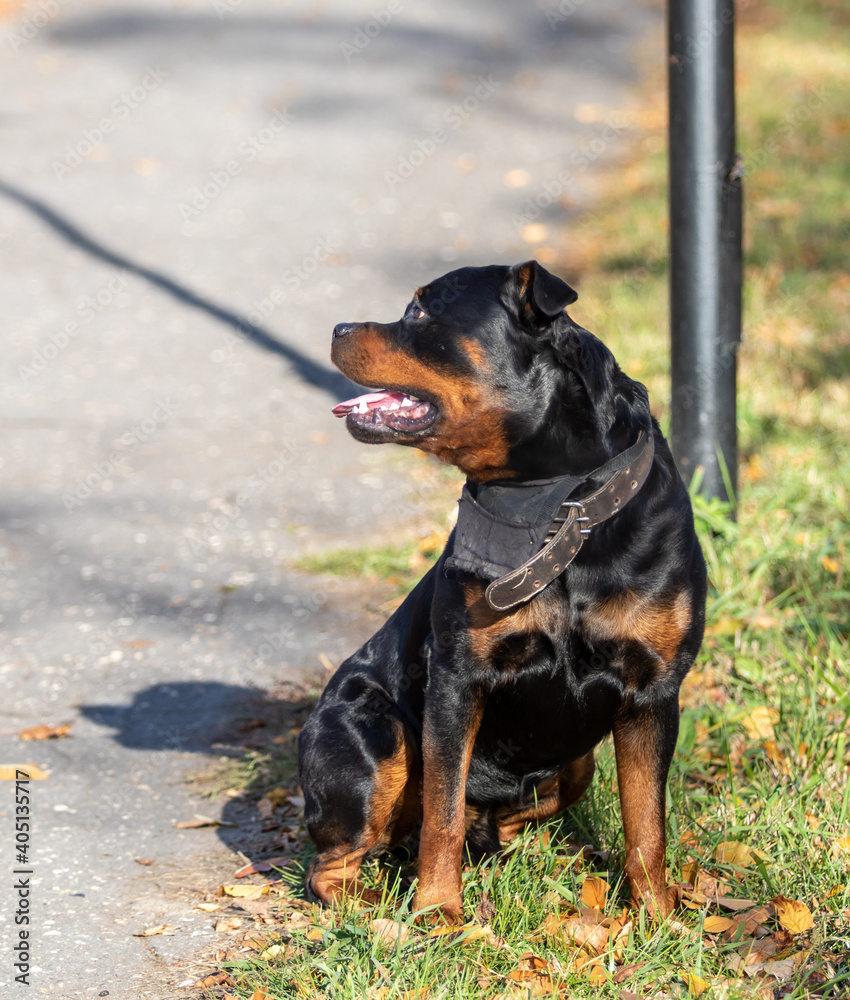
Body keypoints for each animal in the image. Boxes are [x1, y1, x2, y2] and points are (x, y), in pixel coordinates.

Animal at [294, 260, 704, 920]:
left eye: (420, 311)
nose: (337, 327)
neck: (560, 505)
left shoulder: (652, 690)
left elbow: (647, 823)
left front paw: (657, 918)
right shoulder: (458, 676)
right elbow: (442, 814)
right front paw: (438, 915)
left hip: (576, 763)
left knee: (504, 818)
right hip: (372, 735)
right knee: (336, 862)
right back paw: (376, 908)